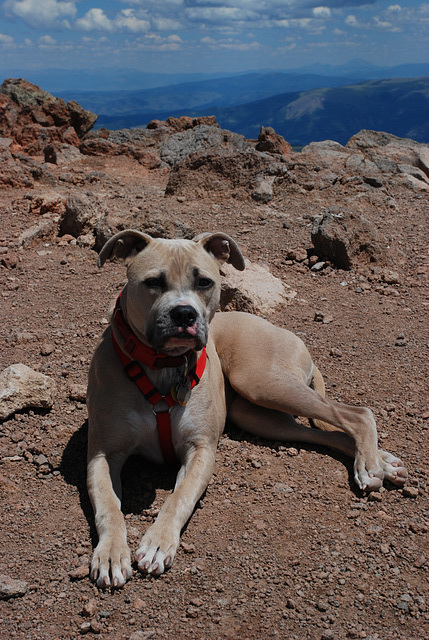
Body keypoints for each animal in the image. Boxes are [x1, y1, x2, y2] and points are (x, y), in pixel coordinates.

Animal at [85, 230, 406, 592]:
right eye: (153, 282)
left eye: (205, 282)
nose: (184, 314)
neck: (163, 367)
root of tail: (281, 330)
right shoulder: (102, 454)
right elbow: (108, 505)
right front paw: (111, 553)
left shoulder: (201, 451)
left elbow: (179, 498)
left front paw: (157, 543)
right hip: (257, 414)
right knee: (332, 431)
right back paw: (381, 462)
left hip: (261, 381)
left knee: (358, 414)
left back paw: (370, 465)